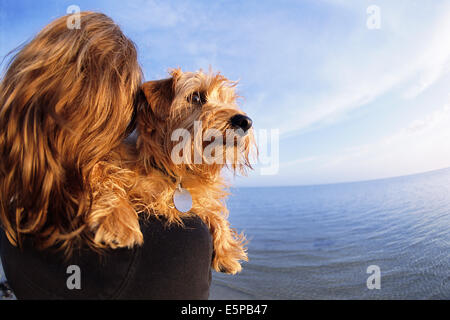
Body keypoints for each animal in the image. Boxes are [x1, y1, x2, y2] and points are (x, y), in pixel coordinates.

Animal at [89, 69, 255, 274]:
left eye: (228, 101)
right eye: (196, 97)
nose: (245, 121)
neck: (173, 170)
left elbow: (213, 211)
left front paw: (227, 251)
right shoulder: (99, 161)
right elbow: (103, 177)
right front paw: (117, 222)